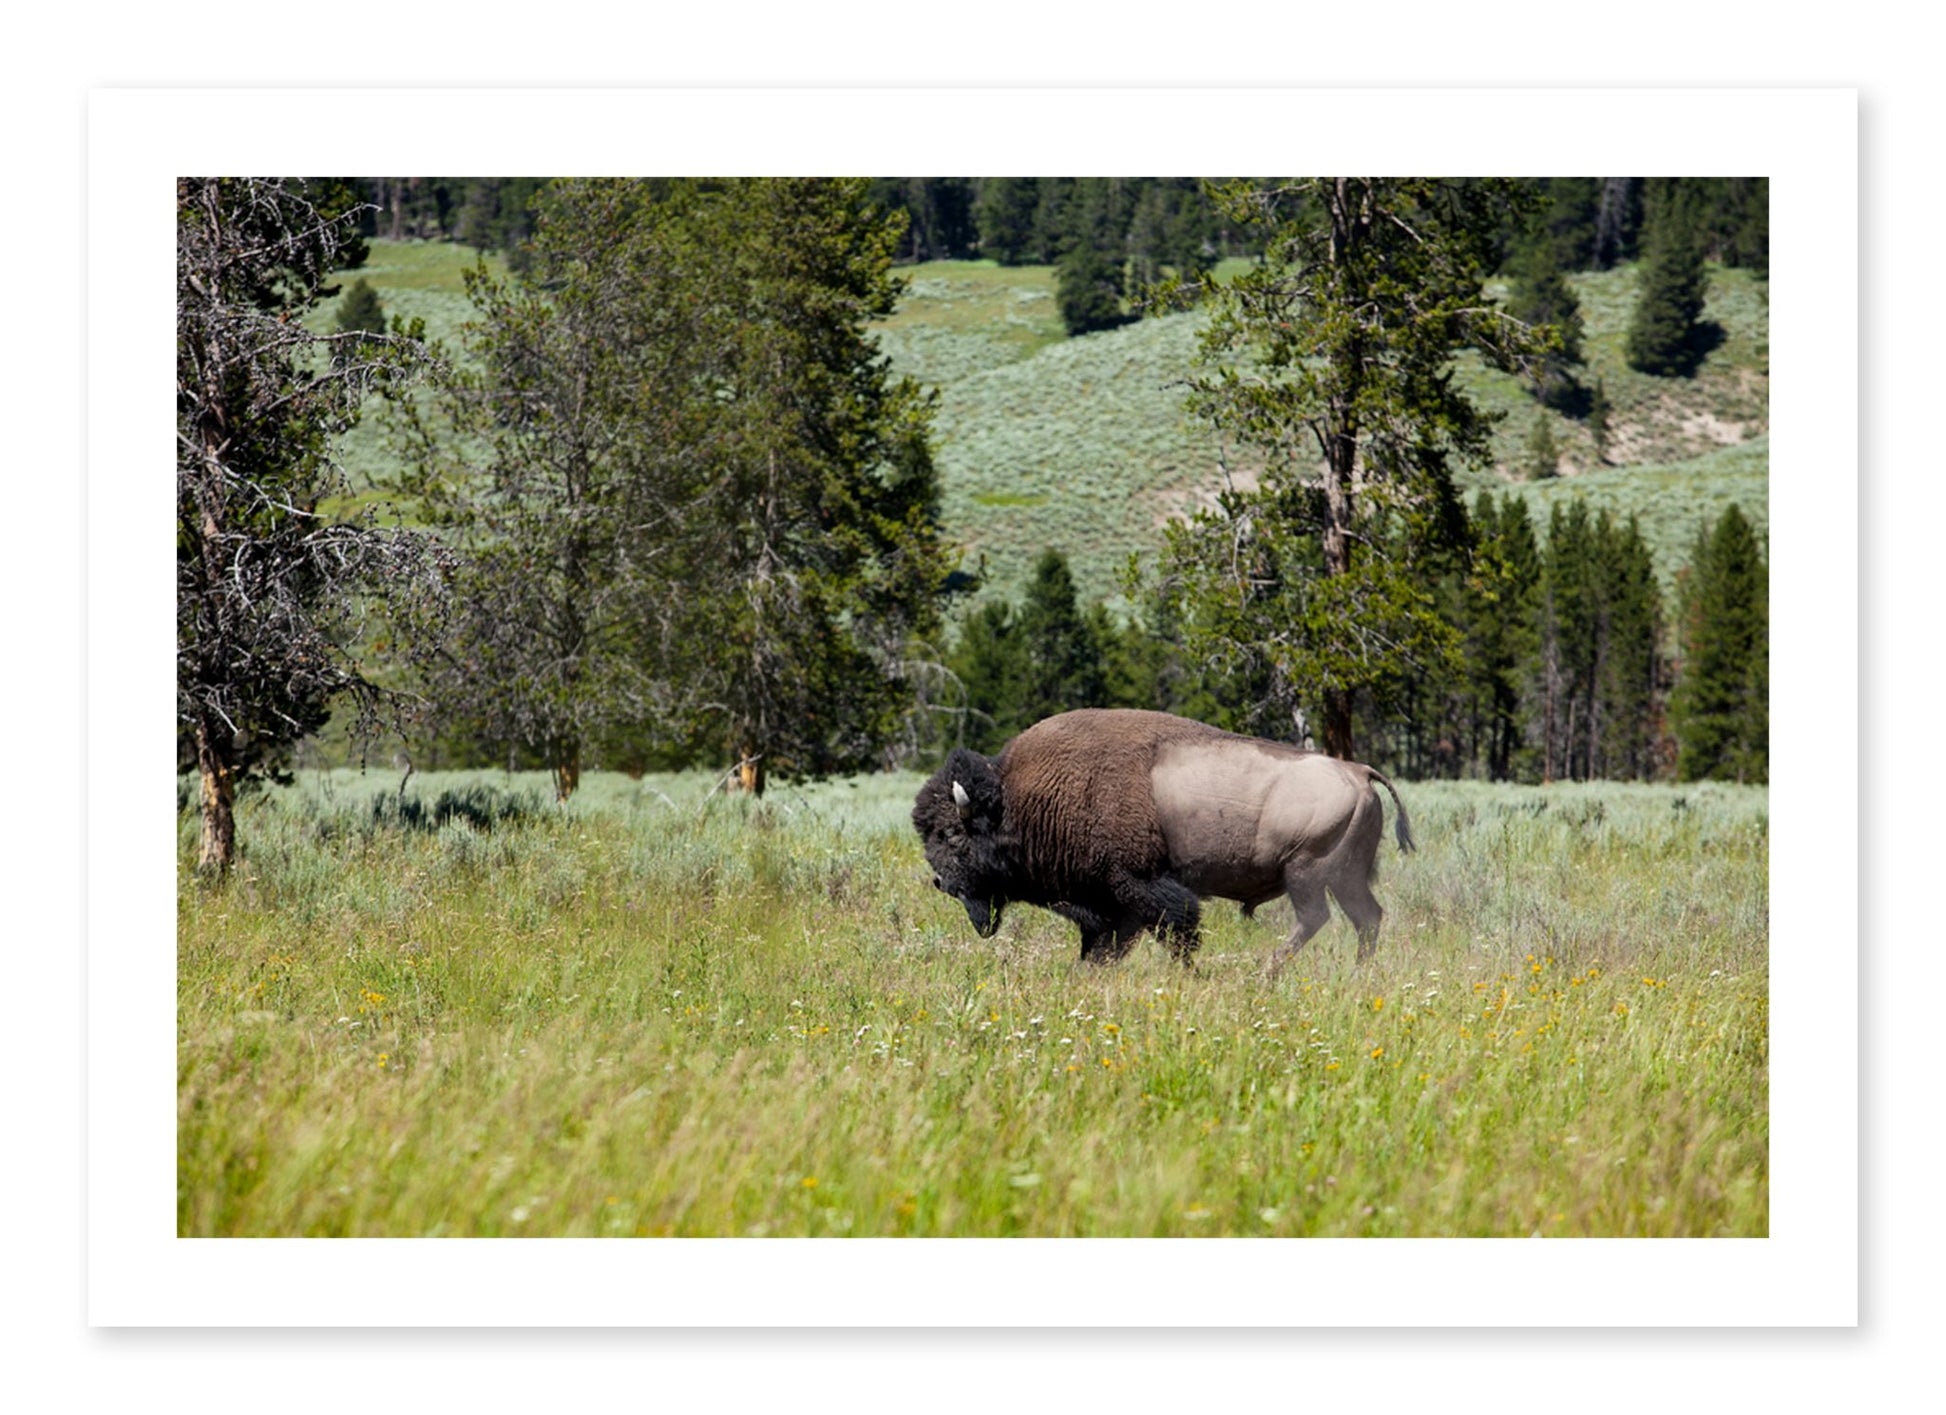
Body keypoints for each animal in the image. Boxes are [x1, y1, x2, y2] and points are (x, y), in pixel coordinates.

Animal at [912, 708, 1414, 965]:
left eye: (951, 834)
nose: (940, 882)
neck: (1019, 798)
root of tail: (1358, 771)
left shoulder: (1139, 887)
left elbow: (1177, 931)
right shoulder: (1111, 906)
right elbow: (1104, 948)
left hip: (1307, 873)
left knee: (1316, 919)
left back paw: (1266, 971)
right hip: (1345, 878)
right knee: (1366, 918)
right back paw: (1356, 973)